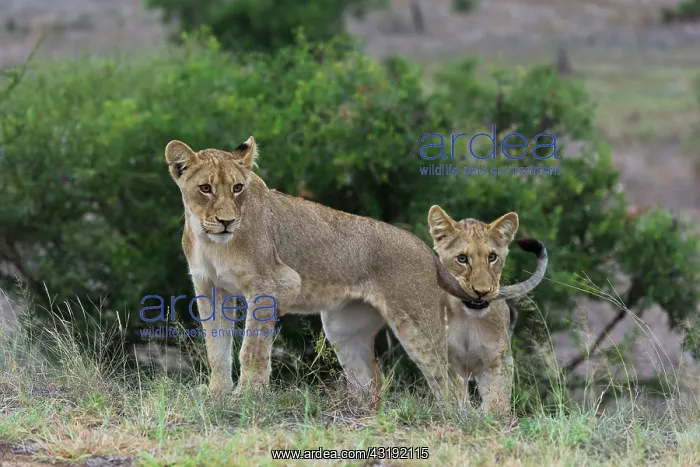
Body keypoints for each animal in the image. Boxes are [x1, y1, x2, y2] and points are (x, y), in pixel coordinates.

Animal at [163, 136, 533, 403]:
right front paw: (217, 392)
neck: (212, 242)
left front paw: (248, 394)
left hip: (416, 323)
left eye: (237, 188)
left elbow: (251, 347)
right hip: (344, 329)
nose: (227, 221)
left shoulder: (273, 284)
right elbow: (216, 345)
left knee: (450, 380)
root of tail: (429, 252)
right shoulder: (210, 289)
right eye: (205, 188)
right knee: (373, 379)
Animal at [428, 205, 548, 417]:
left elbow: (497, 396)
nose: (482, 292)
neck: (467, 318)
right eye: (462, 258)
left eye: (492, 257)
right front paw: (463, 412)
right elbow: (456, 392)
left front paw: (490, 415)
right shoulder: (449, 361)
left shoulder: (498, 360)